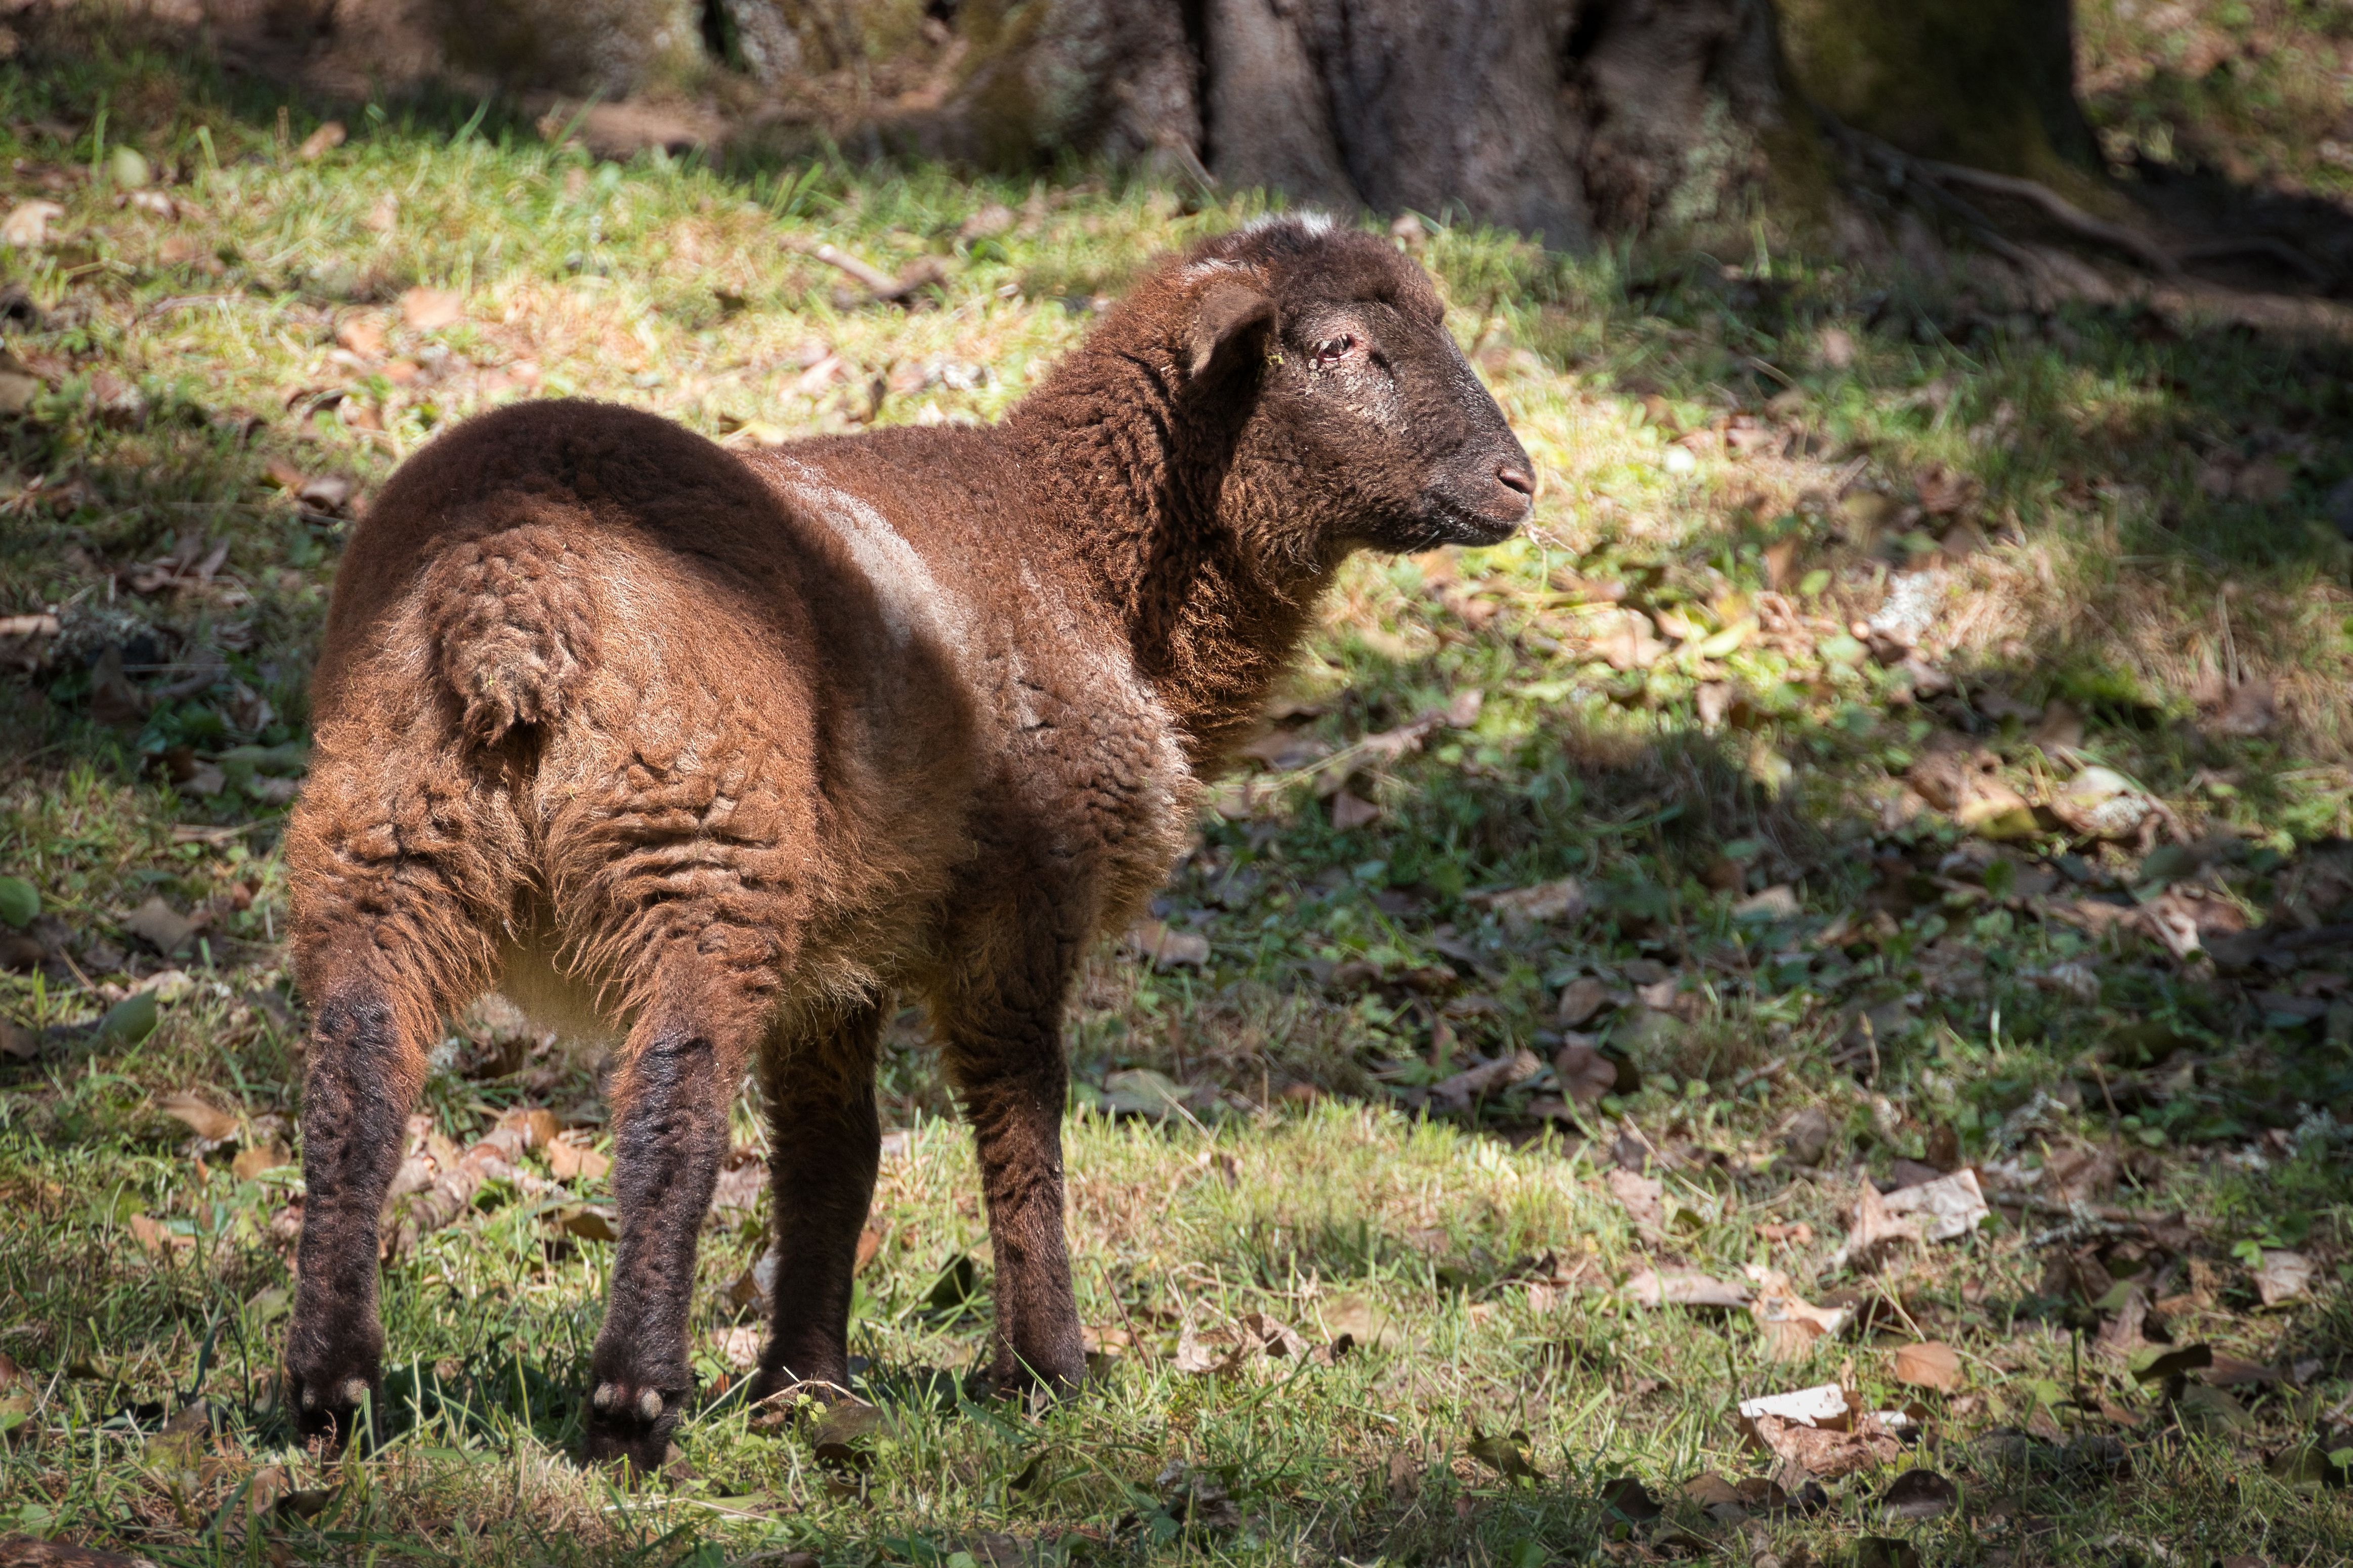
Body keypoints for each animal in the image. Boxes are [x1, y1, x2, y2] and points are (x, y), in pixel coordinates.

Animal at [281, 213, 1533, 1470]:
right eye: (1336, 348)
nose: (1519, 481)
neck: (1081, 554)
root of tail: (511, 583)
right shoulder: (1025, 894)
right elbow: (1019, 1117)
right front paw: (1045, 1369)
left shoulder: (841, 953)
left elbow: (832, 1153)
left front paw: (805, 1385)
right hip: (699, 836)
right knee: (671, 1103)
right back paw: (632, 1401)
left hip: (386, 827)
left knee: (358, 1082)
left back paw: (331, 1391)